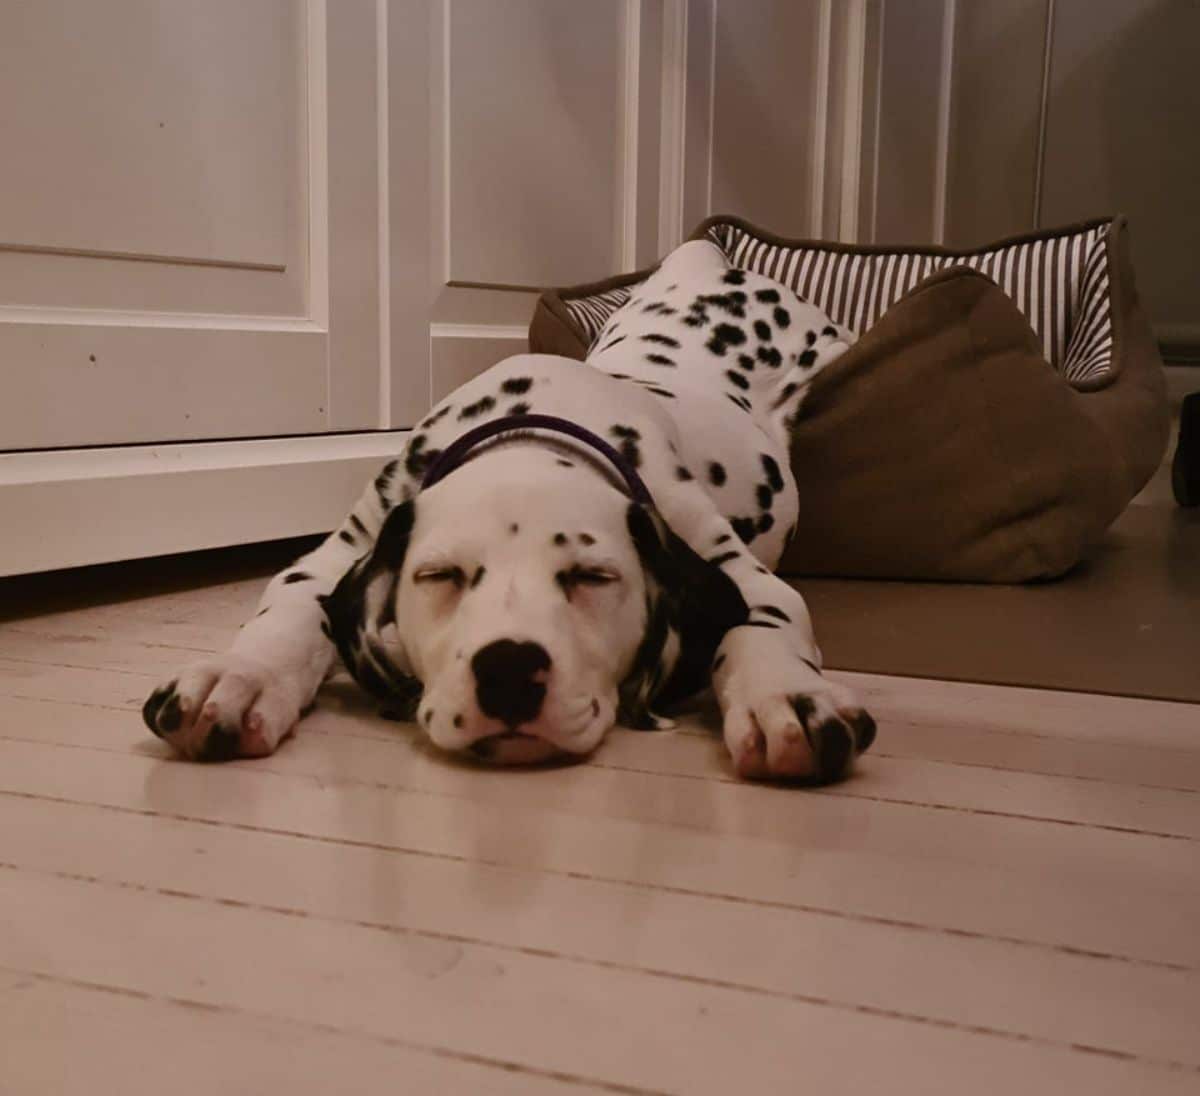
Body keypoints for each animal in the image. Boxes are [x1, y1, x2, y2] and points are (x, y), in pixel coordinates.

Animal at [140, 243, 878, 782]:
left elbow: (761, 623)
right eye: (438, 576)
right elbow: (287, 614)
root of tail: (716, 262)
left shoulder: (741, 571)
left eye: (593, 577)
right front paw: (238, 677)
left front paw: (788, 696)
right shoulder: (337, 553)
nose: (508, 672)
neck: (534, 421)